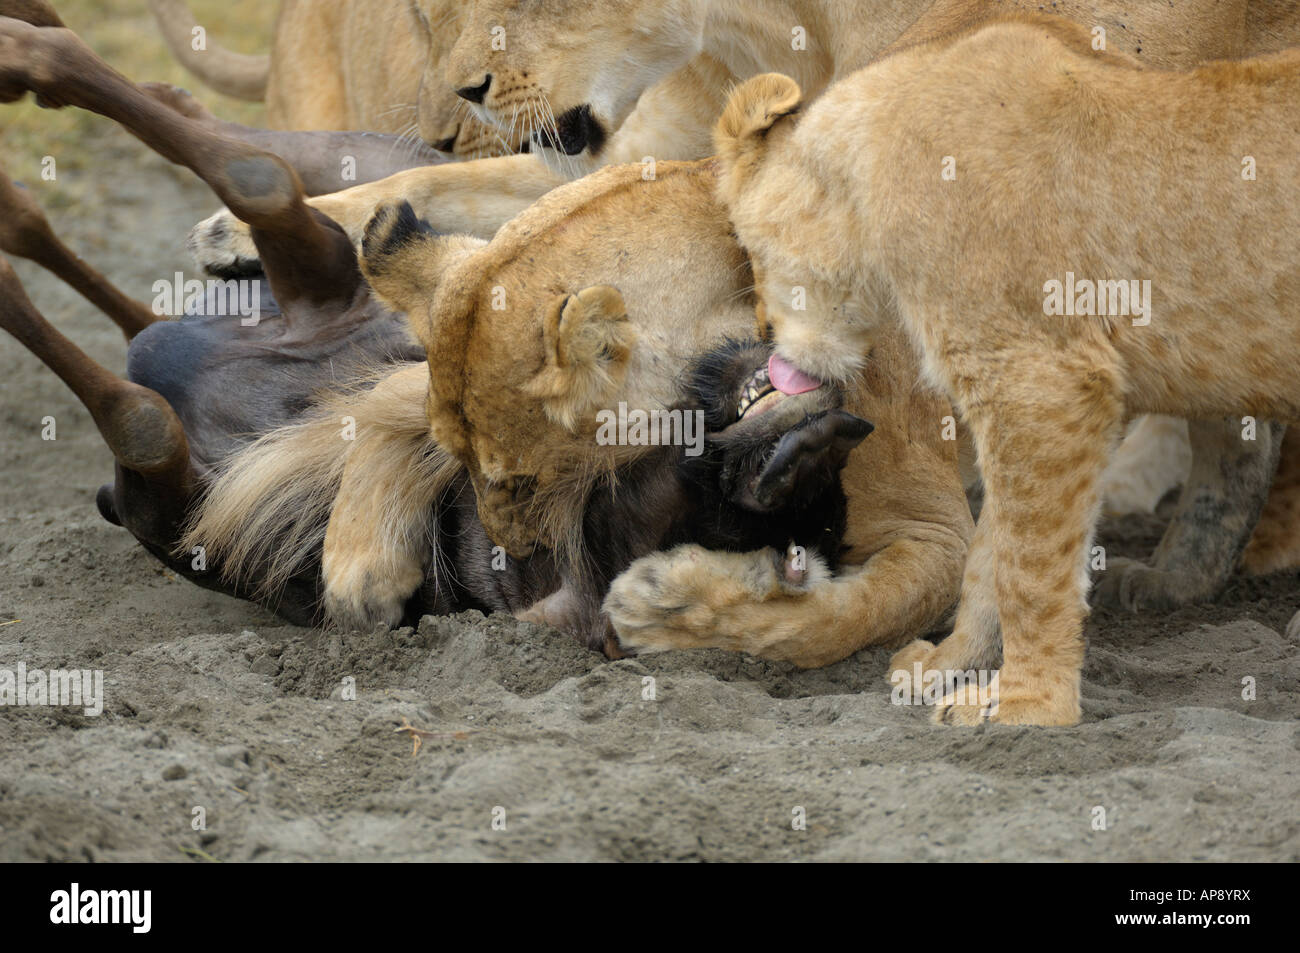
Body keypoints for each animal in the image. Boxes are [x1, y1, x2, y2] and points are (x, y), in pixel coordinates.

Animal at [711, 18, 1300, 723]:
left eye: (747, 253)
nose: (766, 339)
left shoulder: (1043, 382)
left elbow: (1031, 568)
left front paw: (1027, 704)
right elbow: (991, 553)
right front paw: (947, 666)